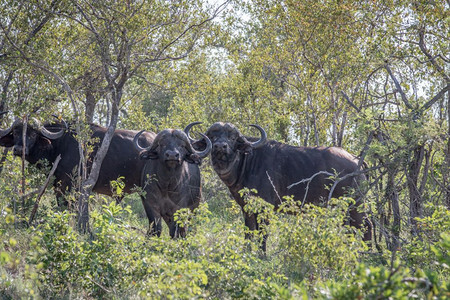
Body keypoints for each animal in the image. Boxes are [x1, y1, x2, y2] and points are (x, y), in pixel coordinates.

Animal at [0, 114, 161, 232]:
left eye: (33, 135)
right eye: (15, 133)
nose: (18, 149)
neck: (59, 144)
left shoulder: (70, 186)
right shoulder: (59, 186)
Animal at [186, 121, 372, 251]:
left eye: (232, 138)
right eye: (213, 137)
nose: (220, 146)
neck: (246, 162)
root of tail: (357, 160)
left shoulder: (265, 207)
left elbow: (263, 233)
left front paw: (262, 255)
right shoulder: (247, 208)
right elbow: (249, 232)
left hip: (355, 204)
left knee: (366, 226)